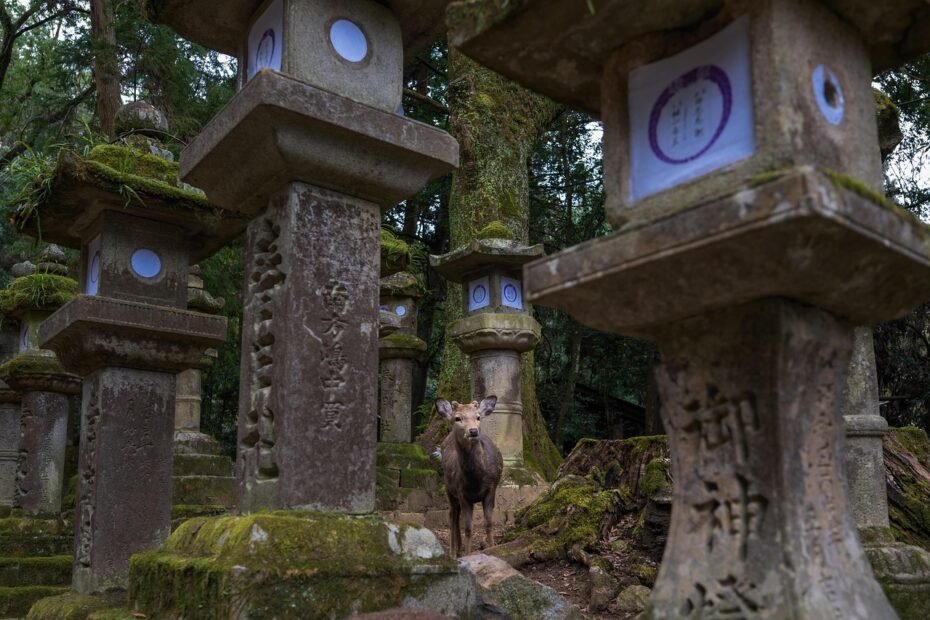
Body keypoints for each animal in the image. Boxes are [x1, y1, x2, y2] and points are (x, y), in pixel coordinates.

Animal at [436, 395, 503, 558]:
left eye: (478, 417)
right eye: (458, 418)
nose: (473, 431)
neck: (475, 481)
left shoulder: (491, 489)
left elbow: (488, 523)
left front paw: (492, 548)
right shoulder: (462, 493)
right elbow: (468, 528)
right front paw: (468, 554)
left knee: (456, 516)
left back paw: (458, 549)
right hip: (448, 488)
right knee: (452, 516)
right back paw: (453, 552)